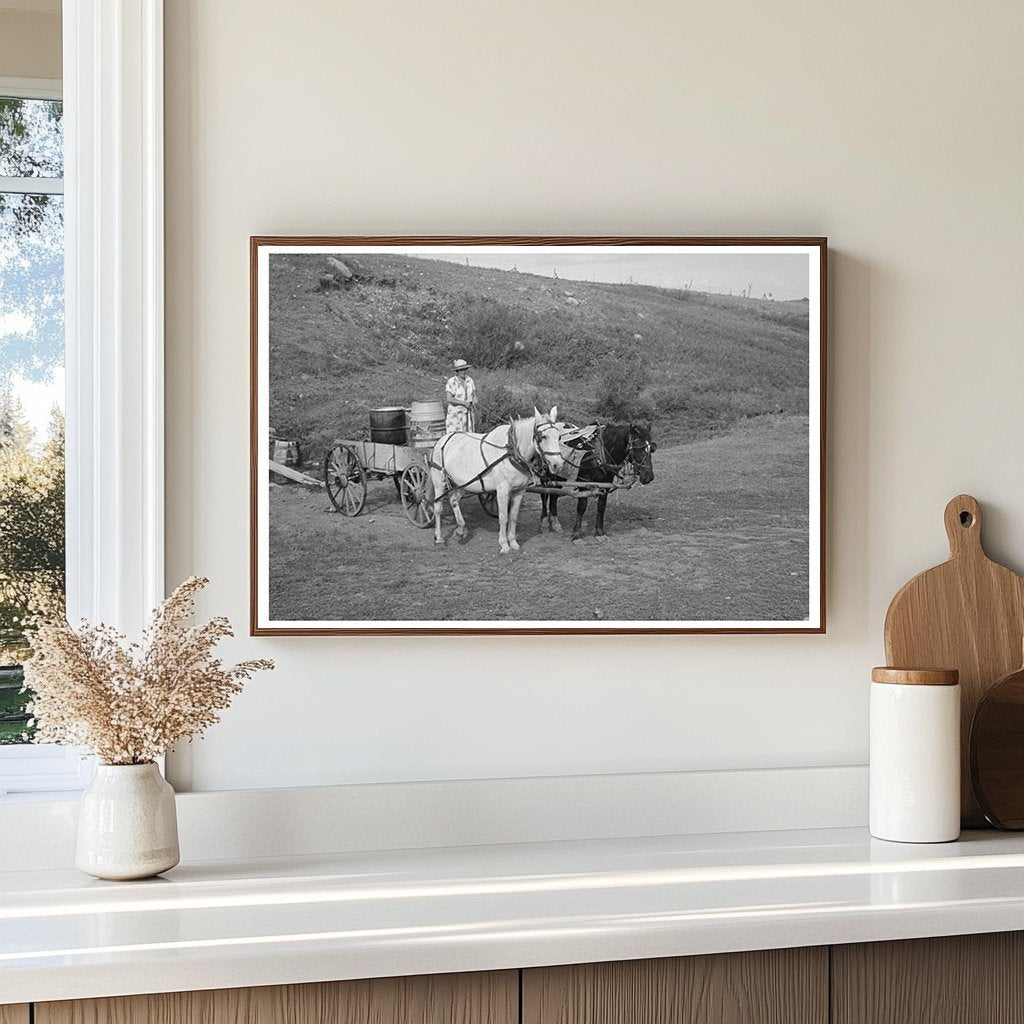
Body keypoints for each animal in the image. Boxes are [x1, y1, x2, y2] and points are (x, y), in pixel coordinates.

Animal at [428, 405, 565, 557]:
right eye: (543, 437)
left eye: (559, 436)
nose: (558, 465)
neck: (512, 451)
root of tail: (443, 439)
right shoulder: (502, 490)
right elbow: (503, 517)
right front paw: (504, 545)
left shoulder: (520, 490)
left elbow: (513, 517)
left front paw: (514, 543)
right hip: (439, 481)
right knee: (438, 507)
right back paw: (439, 538)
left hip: (463, 483)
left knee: (453, 501)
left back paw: (460, 529)